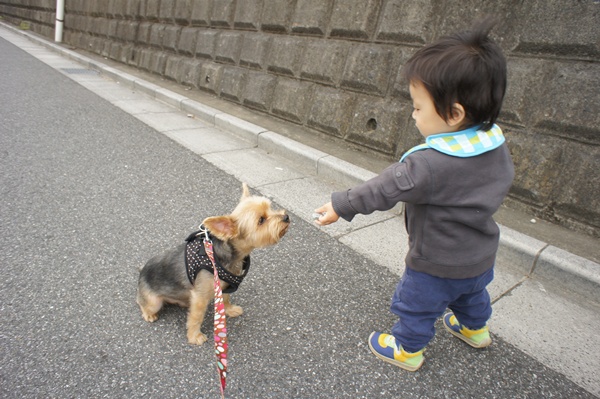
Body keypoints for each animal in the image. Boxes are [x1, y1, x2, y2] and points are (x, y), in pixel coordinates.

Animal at [139, 183, 292, 346]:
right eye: (261, 220)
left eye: (271, 207)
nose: (286, 217)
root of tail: (141, 273)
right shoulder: (200, 297)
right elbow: (196, 317)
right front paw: (195, 336)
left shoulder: (224, 286)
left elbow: (225, 299)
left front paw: (229, 310)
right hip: (153, 301)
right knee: (144, 304)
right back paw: (149, 314)